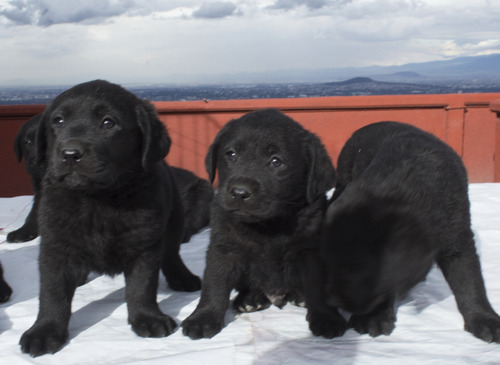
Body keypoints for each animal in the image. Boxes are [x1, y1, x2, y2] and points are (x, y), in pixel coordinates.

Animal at [19, 79, 203, 356]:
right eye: (58, 121)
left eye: (108, 123)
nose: (70, 154)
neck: (99, 198)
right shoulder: (55, 245)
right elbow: (52, 292)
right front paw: (44, 330)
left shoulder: (145, 244)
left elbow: (141, 287)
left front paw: (147, 318)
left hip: (174, 219)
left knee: (171, 253)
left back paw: (183, 277)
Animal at [183, 108, 336, 338]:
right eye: (231, 154)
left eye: (275, 161)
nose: (239, 192)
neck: (268, 225)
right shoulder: (223, 249)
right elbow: (214, 284)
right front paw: (203, 317)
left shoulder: (311, 249)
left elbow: (317, 286)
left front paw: (326, 317)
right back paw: (250, 299)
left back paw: (299, 297)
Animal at [304, 121, 500, 342]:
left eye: (355, 270)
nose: (332, 300)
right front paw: (374, 316)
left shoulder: (458, 237)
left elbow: (470, 281)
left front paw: (485, 319)